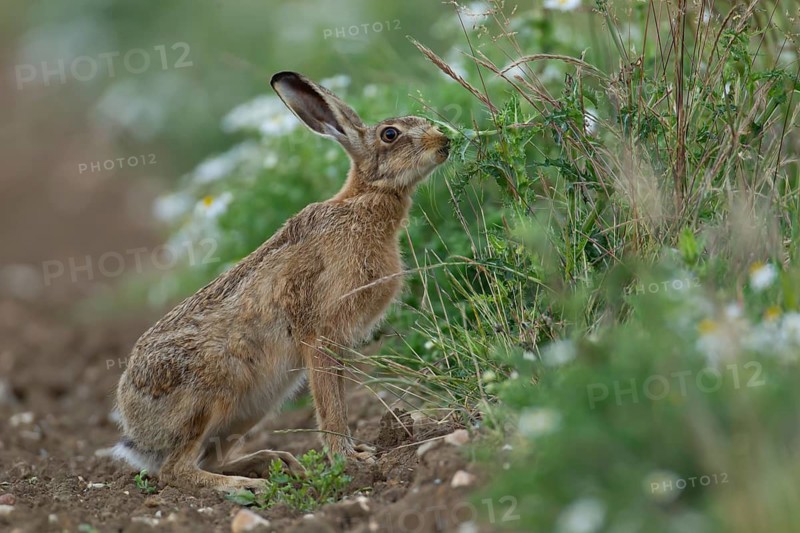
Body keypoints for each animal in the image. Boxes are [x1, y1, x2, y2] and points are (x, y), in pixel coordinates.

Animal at [112, 71, 451, 492]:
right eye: (391, 134)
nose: (444, 142)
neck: (362, 202)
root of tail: (134, 427)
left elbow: (336, 398)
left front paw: (354, 452)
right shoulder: (320, 335)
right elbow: (330, 404)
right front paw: (349, 459)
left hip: (250, 408)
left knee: (210, 457)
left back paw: (275, 462)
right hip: (212, 393)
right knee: (177, 470)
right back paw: (246, 485)